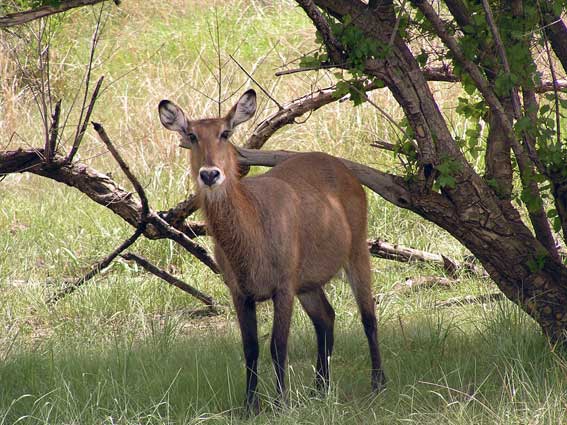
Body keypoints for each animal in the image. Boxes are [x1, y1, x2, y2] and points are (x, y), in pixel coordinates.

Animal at [158, 89, 384, 410]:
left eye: (225, 133)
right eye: (191, 135)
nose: (210, 174)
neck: (252, 235)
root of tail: (342, 167)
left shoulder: (283, 286)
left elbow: (278, 345)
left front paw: (280, 403)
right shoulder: (240, 292)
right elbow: (250, 348)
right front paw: (249, 406)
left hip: (356, 252)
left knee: (368, 316)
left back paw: (377, 383)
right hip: (308, 283)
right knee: (326, 318)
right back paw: (319, 388)